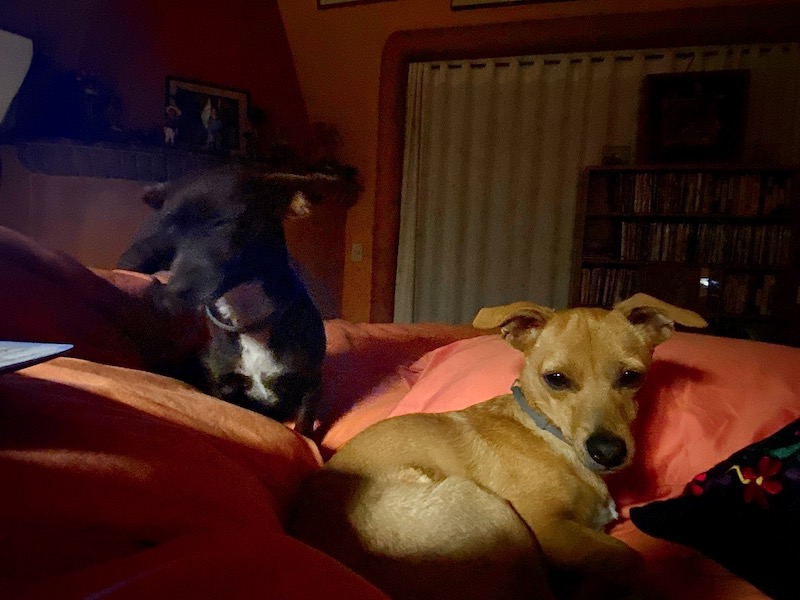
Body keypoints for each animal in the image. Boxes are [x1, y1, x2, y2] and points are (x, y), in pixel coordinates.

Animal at [118, 166, 327, 436]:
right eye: (170, 231)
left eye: (223, 224)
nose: (167, 298)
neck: (244, 312)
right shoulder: (223, 386)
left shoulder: (310, 384)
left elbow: (304, 427)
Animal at [291, 293, 707, 599]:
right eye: (556, 379)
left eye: (631, 377)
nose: (608, 452)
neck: (547, 432)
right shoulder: (548, 528)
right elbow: (629, 557)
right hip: (492, 510)